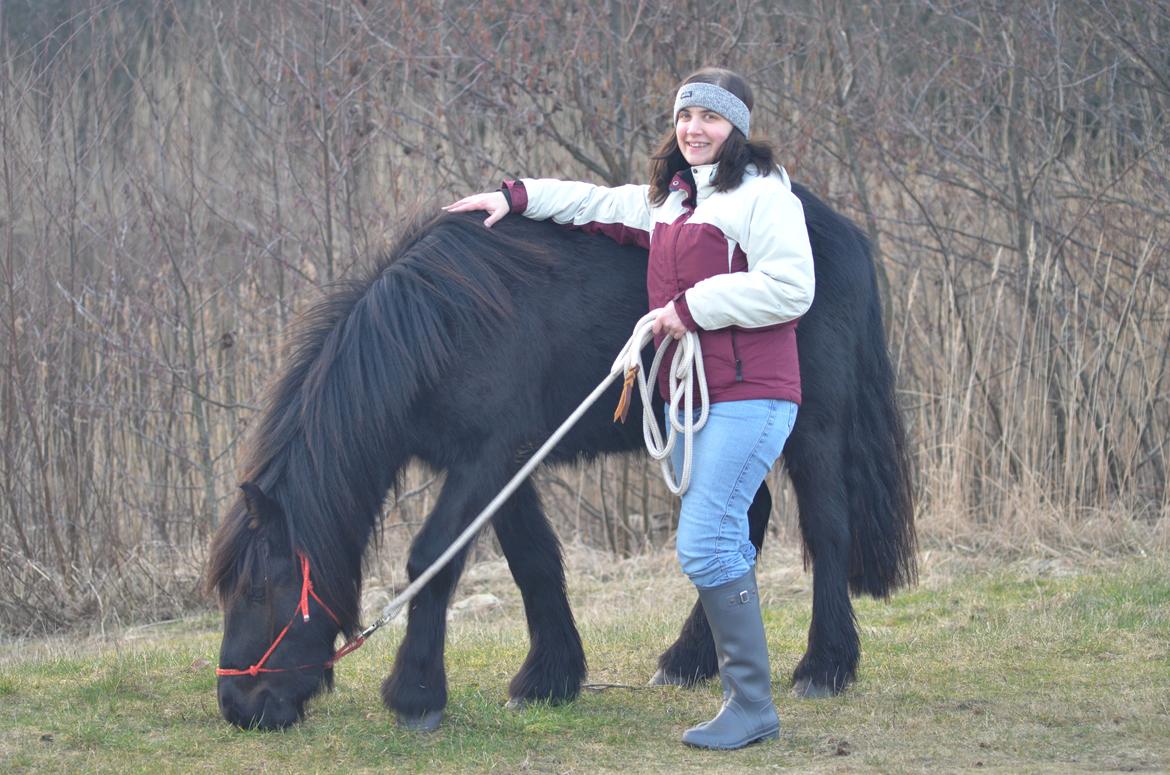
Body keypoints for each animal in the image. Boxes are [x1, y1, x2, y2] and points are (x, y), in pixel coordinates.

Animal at [205, 184, 917, 730]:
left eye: (259, 589)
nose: (238, 705)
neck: (441, 325)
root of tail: (845, 237)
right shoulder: (502, 463)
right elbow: (534, 561)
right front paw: (550, 678)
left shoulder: (486, 457)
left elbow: (432, 559)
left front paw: (416, 695)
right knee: (744, 517)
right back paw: (687, 660)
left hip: (813, 423)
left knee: (826, 529)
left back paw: (824, 666)